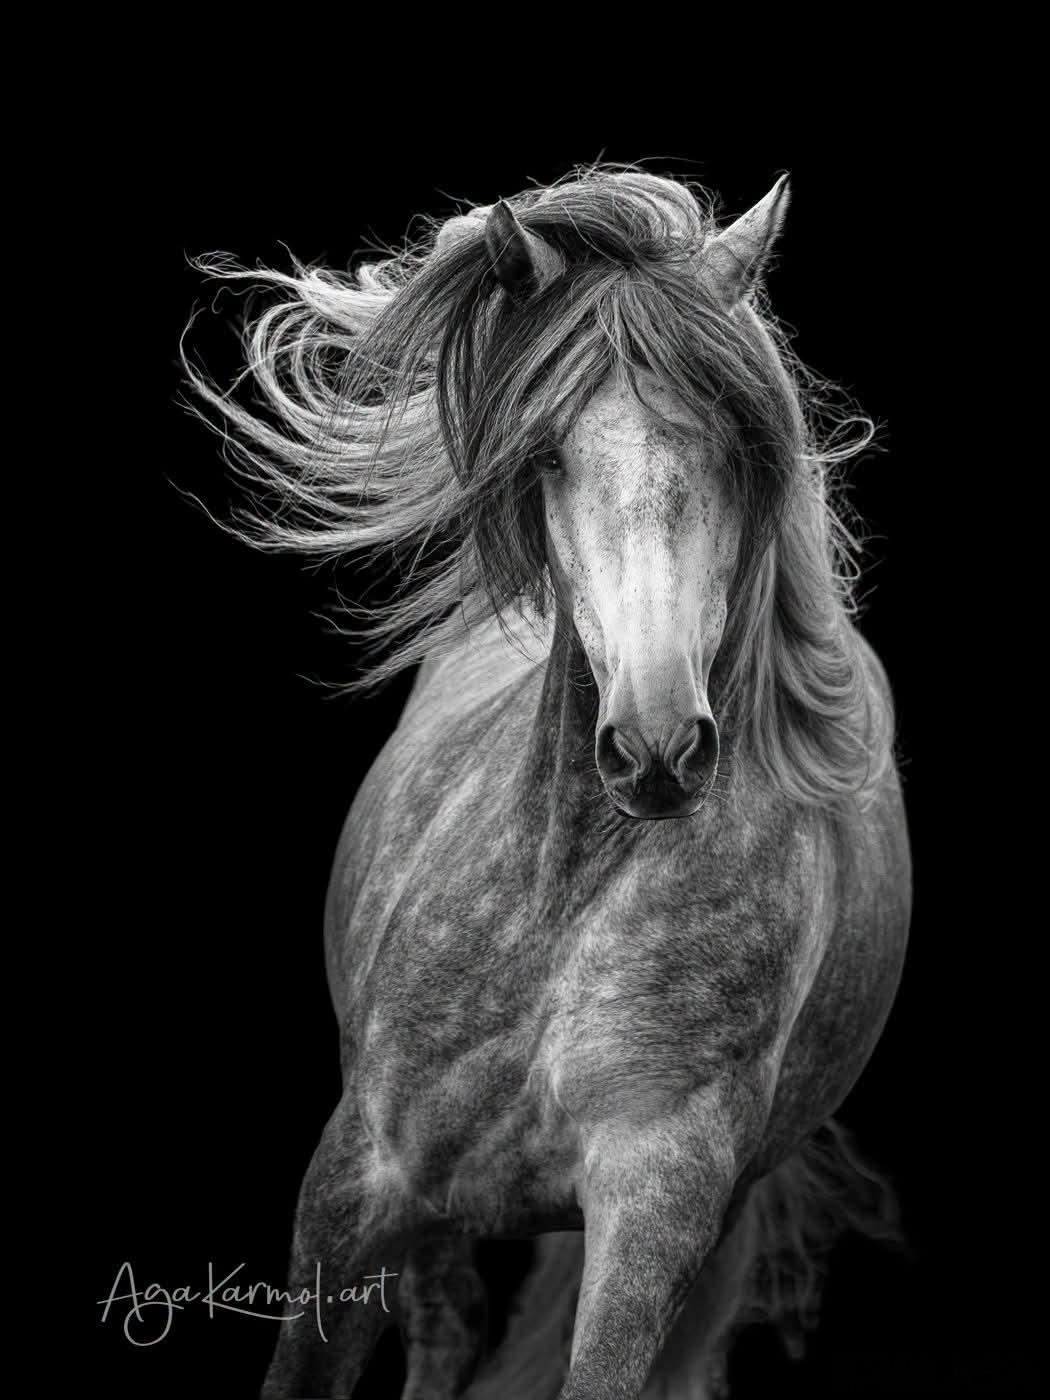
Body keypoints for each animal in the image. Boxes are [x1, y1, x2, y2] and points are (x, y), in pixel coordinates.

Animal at [185, 165, 911, 1399]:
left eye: (737, 449)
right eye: (553, 455)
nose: (658, 745)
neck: (561, 905)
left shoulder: (657, 1205)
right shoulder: (354, 1182)